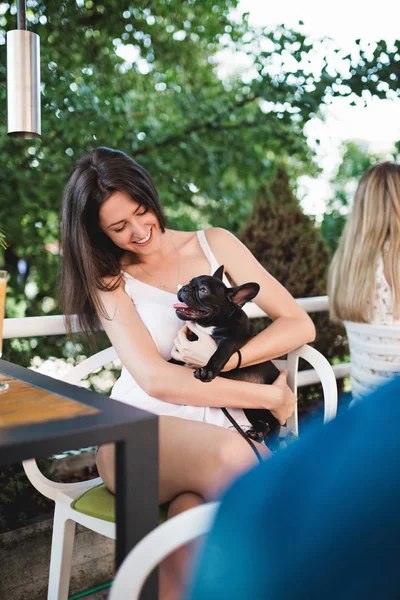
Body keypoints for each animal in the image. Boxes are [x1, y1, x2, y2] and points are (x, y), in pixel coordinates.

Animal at [173, 266, 282, 440]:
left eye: (203, 290)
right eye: (189, 282)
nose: (184, 287)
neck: (211, 325)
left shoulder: (234, 339)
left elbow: (220, 352)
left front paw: (207, 370)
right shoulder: (193, 337)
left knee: (276, 423)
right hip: (250, 406)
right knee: (265, 423)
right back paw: (257, 433)